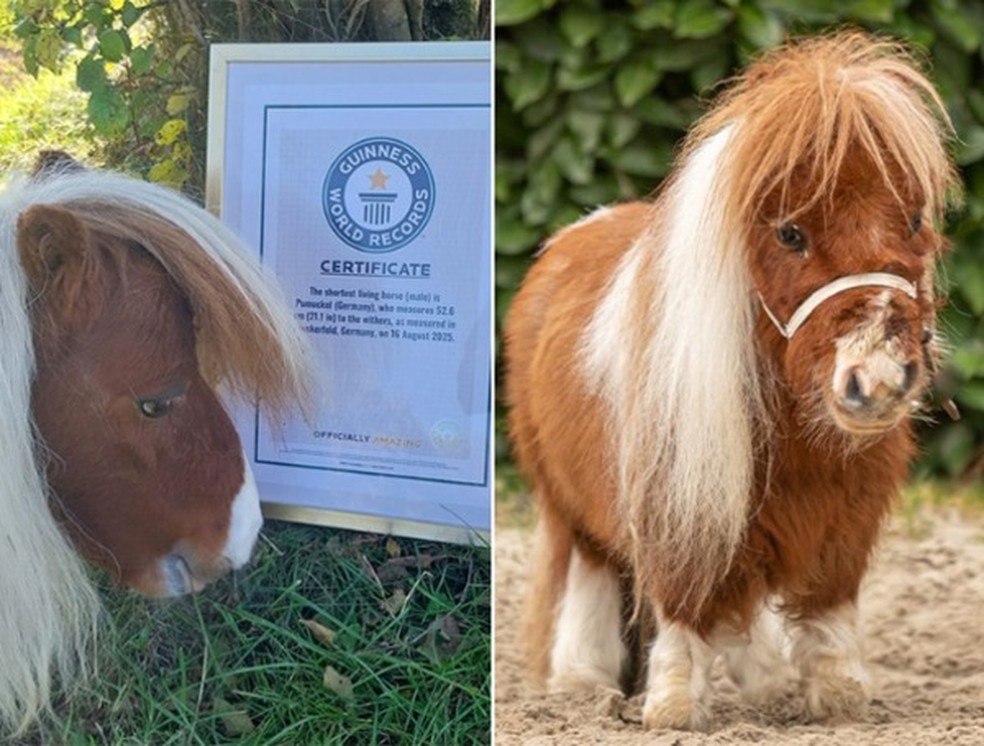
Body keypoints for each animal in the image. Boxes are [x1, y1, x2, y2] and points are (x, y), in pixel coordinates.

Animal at [504, 32, 959, 730]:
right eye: (790, 233)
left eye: (912, 221)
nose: (878, 379)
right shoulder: (678, 501)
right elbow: (683, 603)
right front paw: (671, 707)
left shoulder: (846, 512)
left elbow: (826, 606)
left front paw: (838, 697)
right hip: (566, 500)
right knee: (593, 572)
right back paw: (584, 682)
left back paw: (763, 684)